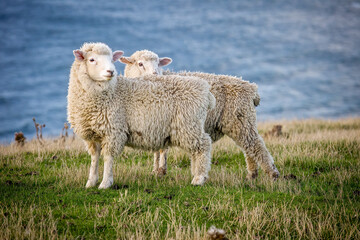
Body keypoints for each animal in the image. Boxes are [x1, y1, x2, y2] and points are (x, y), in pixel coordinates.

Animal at [66, 43, 215, 189]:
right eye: (91, 59)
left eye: (111, 59)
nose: (111, 71)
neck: (112, 91)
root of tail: (206, 91)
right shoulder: (91, 135)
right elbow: (94, 158)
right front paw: (91, 182)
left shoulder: (113, 131)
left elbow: (108, 158)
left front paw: (105, 183)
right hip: (190, 126)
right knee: (196, 151)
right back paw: (196, 173)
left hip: (188, 125)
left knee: (203, 146)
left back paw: (199, 178)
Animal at [119, 49, 280, 179]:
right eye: (140, 64)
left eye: (159, 64)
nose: (155, 74)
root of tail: (251, 88)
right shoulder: (153, 123)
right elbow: (157, 150)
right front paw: (155, 170)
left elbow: (162, 150)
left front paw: (160, 171)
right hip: (241, 122)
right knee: (249, 147)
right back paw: (252, 175)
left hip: (240, 119)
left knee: (256, 145)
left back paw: (272, 174)